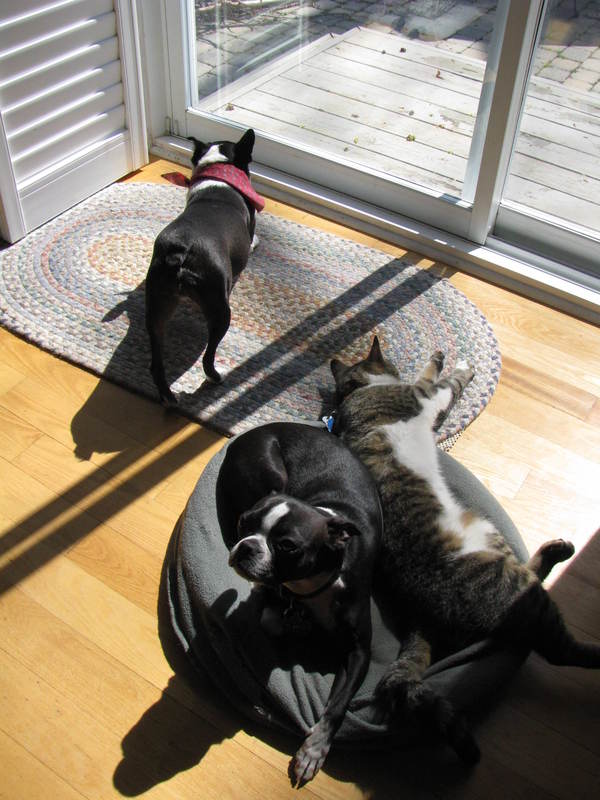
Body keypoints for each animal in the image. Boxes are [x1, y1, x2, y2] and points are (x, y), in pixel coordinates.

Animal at [145, 128, 263, 405]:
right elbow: (252, 238)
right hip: (220, 308)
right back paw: (216, 378)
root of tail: (181, 252)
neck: (219, 171)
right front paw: (255, 243)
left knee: (156, 363)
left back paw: (168, 398)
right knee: (208, 357)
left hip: (157, 304)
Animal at [216, 422, 382, 787]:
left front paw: (314, 750)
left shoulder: (359, 651)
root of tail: (248, 434)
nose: (245, 546)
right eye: (243, 524)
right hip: (270, 472)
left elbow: (337, 707)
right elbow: (271, 619)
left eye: (287, 546)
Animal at [330, 335, 599, 762]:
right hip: (512, 581)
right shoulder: (424, 396)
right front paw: (458, 364)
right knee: (560, 647)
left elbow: (430, 373)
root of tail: (425, 615)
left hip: (491, 537)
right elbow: (443, 380)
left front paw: (439, 358)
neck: (361, 393)